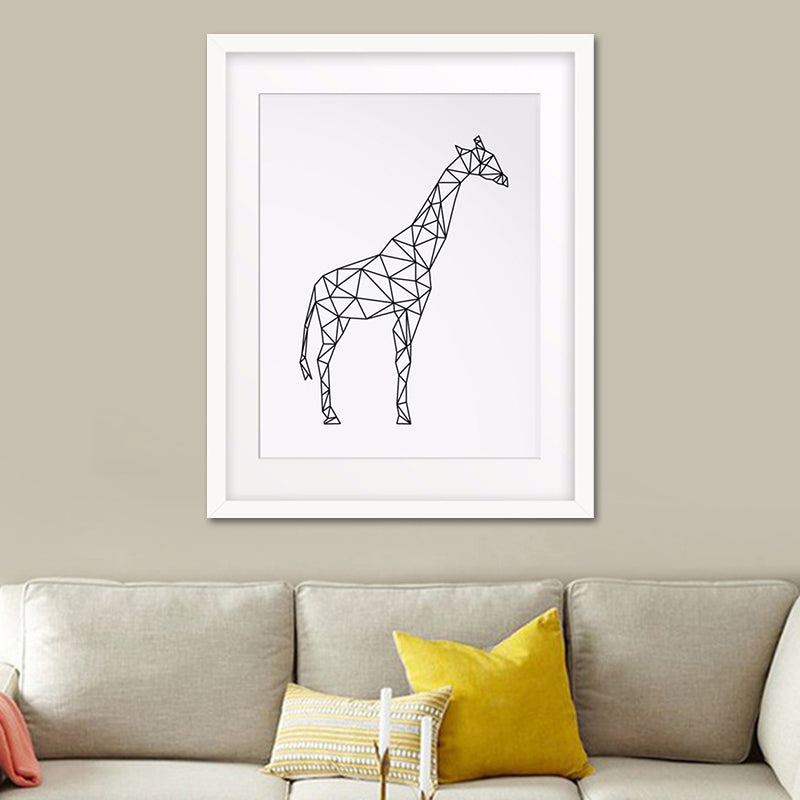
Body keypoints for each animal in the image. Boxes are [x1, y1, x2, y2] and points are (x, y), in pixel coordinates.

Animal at [300, 136, 509, 425]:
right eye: (487, 160)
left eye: (494, 157)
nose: (505, 180)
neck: (421, 250)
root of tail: (315, 288)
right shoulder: (412, 309)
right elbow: (405, 359)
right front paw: (404, 416)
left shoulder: (405, 311)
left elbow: (403, 358)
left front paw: (401, 413)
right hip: (333, 321)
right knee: (323, 358)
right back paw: (331, 416)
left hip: (339, 321)